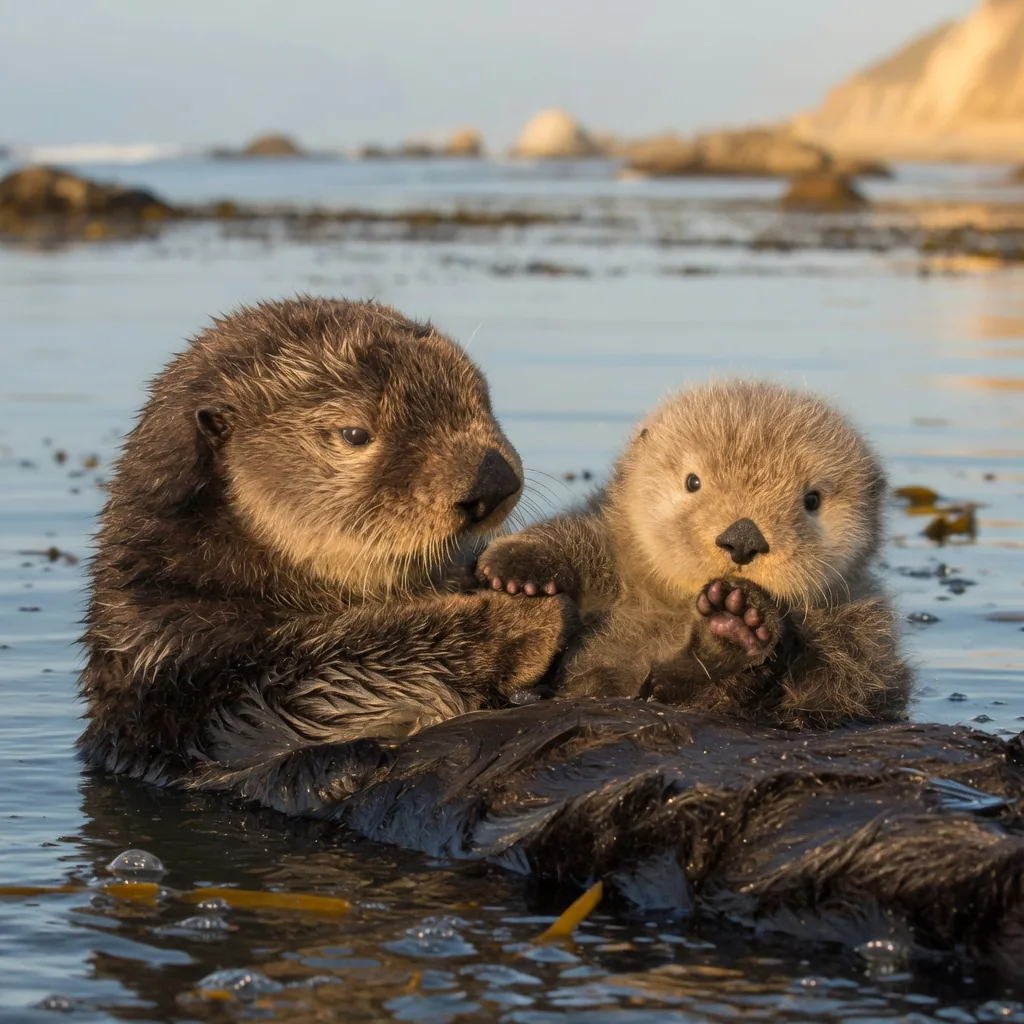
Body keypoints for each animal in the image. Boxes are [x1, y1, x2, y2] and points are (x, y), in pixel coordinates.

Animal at [78, 298, 575, 799]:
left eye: (483, 399)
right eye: (354, 434)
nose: (494, 481)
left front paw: (515, 573)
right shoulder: (198, 687)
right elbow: (329, 679)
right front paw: (518, 615)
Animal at [478, 380, 911, 727]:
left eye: (812, 500)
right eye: (693, 482)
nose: (743, 537)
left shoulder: (862, 633)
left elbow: (835, 687)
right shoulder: (615, 547)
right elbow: (580, 537)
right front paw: (515, 566)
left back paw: (734, 624)